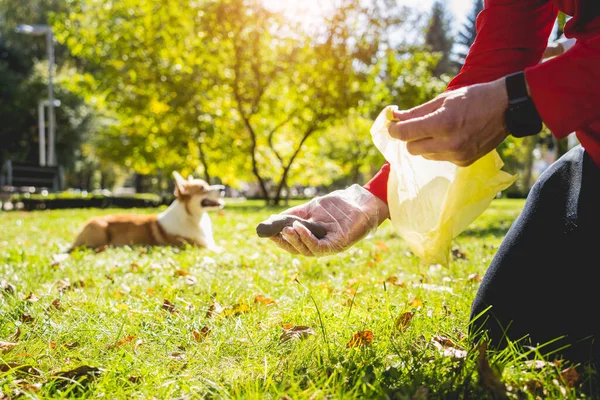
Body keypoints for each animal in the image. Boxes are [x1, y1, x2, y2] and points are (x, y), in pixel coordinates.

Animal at [68, 173, 226, 253]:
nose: (223, 188)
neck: (193, 217)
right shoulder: (198, 247)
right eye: (202, 188)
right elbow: (221, 250)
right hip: (99, 229)